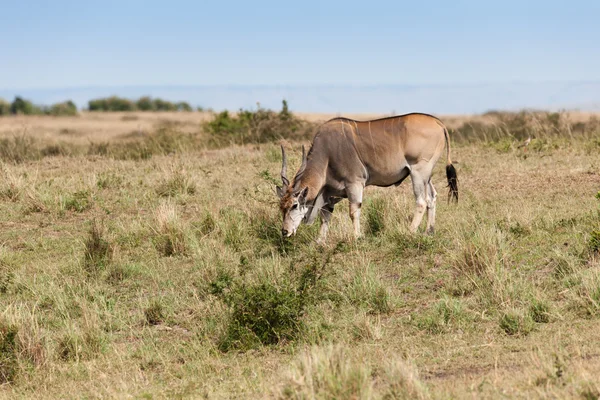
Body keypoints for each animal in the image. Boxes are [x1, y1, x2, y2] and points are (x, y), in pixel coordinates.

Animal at [278, 114, 460, 242]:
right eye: (282, 207)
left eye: (294, 205)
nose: (284, 231)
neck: (326, 154)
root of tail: (438, 123)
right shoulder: (330, 193)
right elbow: (325, 216)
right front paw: (320, 241)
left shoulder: (354, 183)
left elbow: (354, 211)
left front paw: (357, 237)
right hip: (426, 176)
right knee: (432, 197)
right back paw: (429, 231)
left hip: (418, 172)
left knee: (422, 201)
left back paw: (409, 232)